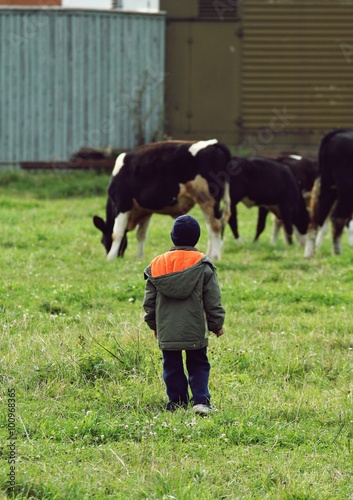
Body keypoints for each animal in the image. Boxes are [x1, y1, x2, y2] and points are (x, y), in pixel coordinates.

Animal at [93, 138, 231, 260]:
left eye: (102, 240)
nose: (119, 256)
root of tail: (214, 143)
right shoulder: (145, 210)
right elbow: (141, 235)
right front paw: (139, 257)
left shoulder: (122, 203)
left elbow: (117, 233)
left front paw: (111, 258)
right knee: (213, 226)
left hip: (208, 199)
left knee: (215, 226)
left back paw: (215, 257)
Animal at [302, 128, 352, 258]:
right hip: (346, 189)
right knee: (338, 217)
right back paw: (337, 252)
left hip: (324, 187)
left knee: (314, 219)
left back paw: (308, 254)